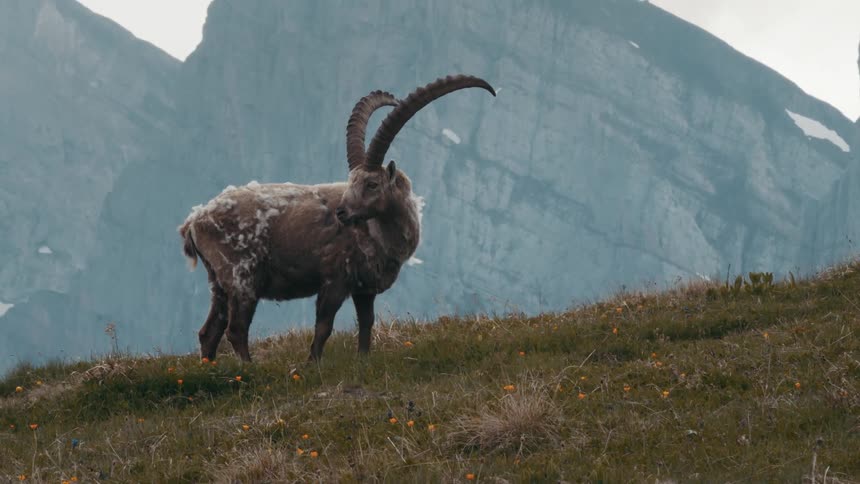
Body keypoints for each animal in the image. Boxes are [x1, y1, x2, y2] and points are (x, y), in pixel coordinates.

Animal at [178, 74, 496, 362]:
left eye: (371, 184)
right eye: (351, 181)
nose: (341, 212)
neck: (379, 235)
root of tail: (195, 221)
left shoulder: (364, 289)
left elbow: (366, 324)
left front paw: (363, 361)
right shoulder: (334, 280)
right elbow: (323, 327)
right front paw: (312, 366)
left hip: (218, 283)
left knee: (209, 332)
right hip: (242, 278)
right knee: (236, 330)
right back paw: (249, 369)